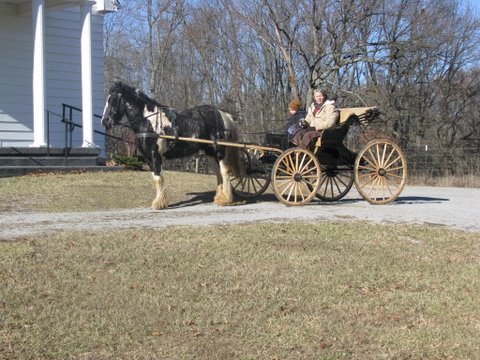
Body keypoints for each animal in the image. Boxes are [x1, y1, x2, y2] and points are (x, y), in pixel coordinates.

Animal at [100, 82, 240, 210]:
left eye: (112, 100)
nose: (104, 121)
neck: (148, 122)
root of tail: (222, 114)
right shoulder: (148, 157)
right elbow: (155, 178)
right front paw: (159, 202)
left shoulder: (155, 155)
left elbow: (158, 178)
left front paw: (159, 204)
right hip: (209, 152)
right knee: (218, 173)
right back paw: (219, 198)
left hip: (219, 151)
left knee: (224, 171)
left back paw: (225, 200)